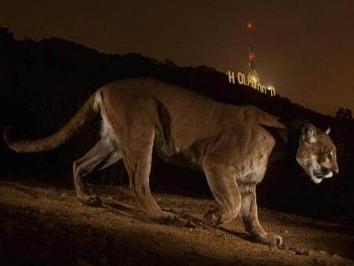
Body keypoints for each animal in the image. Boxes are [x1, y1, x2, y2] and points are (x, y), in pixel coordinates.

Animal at [4, 78, 338, 246]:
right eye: (328, 152)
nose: (335, 170)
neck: (281, 140)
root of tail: (107, 86)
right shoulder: (217, 163)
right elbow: (231, 205)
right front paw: (210, 217)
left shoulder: (247, 182)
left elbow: (251, 215)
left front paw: (265, 237)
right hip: (142, 136)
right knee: (139, 182)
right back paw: (163, 216)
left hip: (113, 144)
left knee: (79, 162)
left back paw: (88, 198)